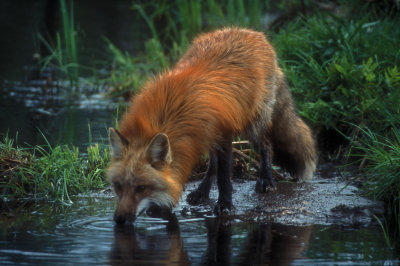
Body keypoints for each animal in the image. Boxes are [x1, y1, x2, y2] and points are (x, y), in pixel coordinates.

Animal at [107, 27, 316, 223]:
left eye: (141, 188)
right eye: (118, 186)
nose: (120, 219)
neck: (170, 109)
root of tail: (252, 32)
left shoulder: (223, 133)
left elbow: (224, 177)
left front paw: (225, 205)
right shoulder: (202, 135)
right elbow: (215, 168)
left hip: (254, 124)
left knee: (266, 145)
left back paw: (266, 179)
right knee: (213, 164)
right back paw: (202, 191)